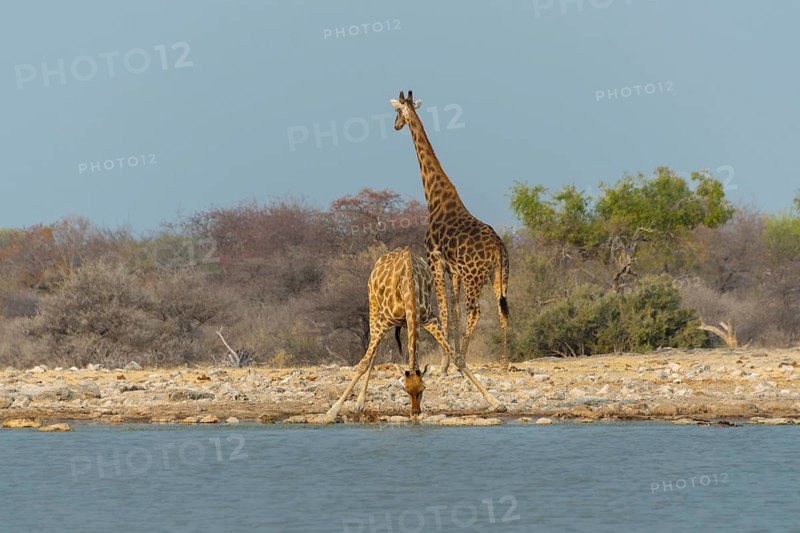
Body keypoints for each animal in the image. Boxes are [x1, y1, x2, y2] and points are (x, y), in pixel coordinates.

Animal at [324, 246, 500, 421]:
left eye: (423, 388)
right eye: (404, 389)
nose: (415, 412)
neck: (408, 288)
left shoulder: (428, 319)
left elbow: (458, 358)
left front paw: (496, 403)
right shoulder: (385, 321)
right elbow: (363, 363)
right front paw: (333, 410)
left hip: (411, 324)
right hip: (373, 306)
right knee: (372, 353)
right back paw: (359, 403)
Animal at [390, 90, 511, 388]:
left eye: (396, 112)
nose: (396, 126)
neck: (435, 199)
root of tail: (498, 247)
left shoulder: (435, 261)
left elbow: (444, 311)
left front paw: (446, 363)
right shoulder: (453, 269)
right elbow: (454, 312)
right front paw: (449, 357)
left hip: (474, 275)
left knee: (475, 311)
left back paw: (461, 360)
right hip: (499, 274)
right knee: (501, 309)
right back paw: (504, 361)